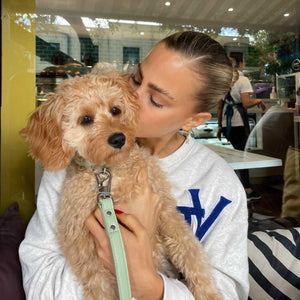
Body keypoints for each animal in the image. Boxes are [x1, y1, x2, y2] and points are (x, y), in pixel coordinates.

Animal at [21, 72, 221, 300]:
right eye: (85, 119)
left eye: (115, 110)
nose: (118, 138)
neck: (109, 172)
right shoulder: (80, 241)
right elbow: (98, 285)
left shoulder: (166, 210)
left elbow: (190, 252)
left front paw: (209, 293)